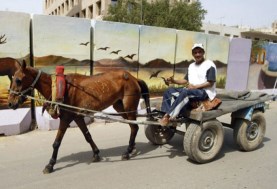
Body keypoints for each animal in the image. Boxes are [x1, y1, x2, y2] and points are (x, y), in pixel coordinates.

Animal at [8, 61, 151, 173]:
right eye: (12, 79)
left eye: (18, 80)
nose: (10, 103)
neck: (60, 88)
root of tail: (134, 78)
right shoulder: (77, 117)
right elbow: (87, 136)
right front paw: (96, 154)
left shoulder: (65, 119)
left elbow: (57, 143)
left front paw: (50, 164)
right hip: (120, 107)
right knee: (133, 126)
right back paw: (131, 148)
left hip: (129, 108)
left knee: (134, 127)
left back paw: (127, 152)